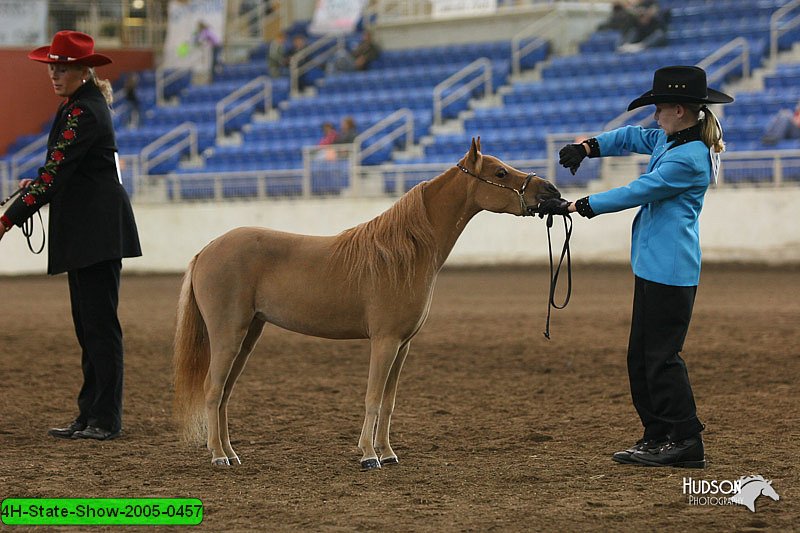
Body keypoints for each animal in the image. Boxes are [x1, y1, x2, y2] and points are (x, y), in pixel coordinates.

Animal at [175, 139, 564, 468]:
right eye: (500, 173)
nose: (551, 190)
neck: (403, 254)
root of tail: (207, 250)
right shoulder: (385, 341)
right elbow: (373, 398)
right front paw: (368, 455)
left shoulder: (403, 346)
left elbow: (389, 403)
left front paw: (388, 453)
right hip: (228, 335)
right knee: (213, 390)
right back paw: (218, 457)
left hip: (248, 336)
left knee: (225, 393)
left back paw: (231, 453)